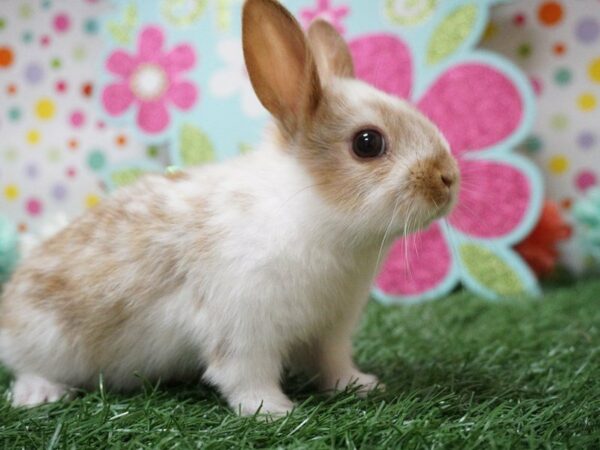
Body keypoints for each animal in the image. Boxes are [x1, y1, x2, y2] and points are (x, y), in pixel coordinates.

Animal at [0, 0, 460, 416]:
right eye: (368, 143)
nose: (448, 178)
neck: (309, 211)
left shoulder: (329, 330)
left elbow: (332, 365)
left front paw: (362, 385)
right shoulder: (243, 329)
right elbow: (244, 376)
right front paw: (274, 411)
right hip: (47, 342)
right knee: (26, 369)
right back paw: (40, 395)